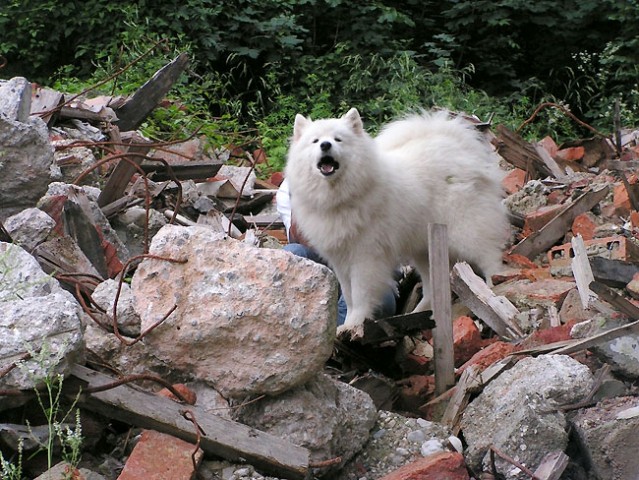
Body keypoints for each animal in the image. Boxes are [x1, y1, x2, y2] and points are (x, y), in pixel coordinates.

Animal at [284, 109, 510, 338]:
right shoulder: (340, 259)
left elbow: (360, 296)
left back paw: (492, 289)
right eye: (315, 141)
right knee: (433, 288)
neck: (340, 197)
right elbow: (348, 296)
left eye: (338, 139)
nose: (325, 145)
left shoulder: (365, 258)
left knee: (489, 256)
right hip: (425, 249)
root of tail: (458, 145)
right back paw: (419, 314)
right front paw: (346, 326)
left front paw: (355, 324)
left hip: (466, 229)